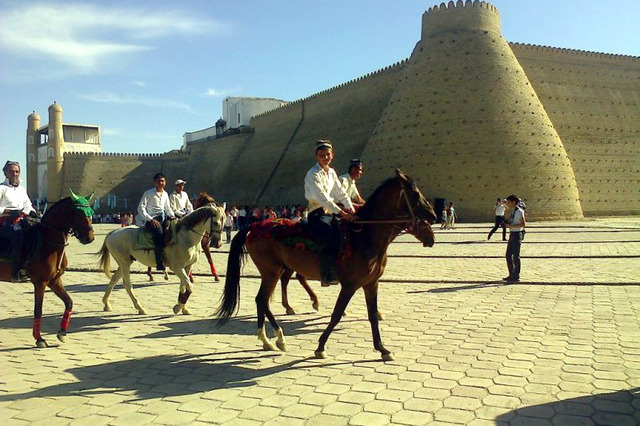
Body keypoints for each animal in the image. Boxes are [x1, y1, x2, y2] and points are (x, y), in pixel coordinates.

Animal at [0, 191, 95, 348]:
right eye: (78, 212)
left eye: (91, 212)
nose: (89, 238)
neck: (48, 242)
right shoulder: (40, 282)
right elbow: (38, 310)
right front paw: (39, 338)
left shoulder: (54, 280)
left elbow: (69, 302)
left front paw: (62, 332)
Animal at [95, 203, 225, 316]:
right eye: (215, 222)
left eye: (223, 223)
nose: (217, 243)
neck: (186, 236)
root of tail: (111, 233)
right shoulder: (177, 267)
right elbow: (189, 286)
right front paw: (178, 307)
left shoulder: (187, 266)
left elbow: (184, 287)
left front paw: (183, 307)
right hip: (124, 263)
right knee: (127, 285)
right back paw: (140, 308)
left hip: (124, 263)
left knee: (113, 280)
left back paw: (106, 304)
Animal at [215, 169, 436, 360]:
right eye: (415, 193)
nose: (433, 216)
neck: (365, 235)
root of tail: (254, 226)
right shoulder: (350, 285)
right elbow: (336, 314)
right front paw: (320, 346)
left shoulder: (371, 283)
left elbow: (372, 315)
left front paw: (382, 349)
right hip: (271, 271)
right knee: (263, 299)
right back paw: (278, 337)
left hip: (276, 270)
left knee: (264, 300)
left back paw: (268, 340)